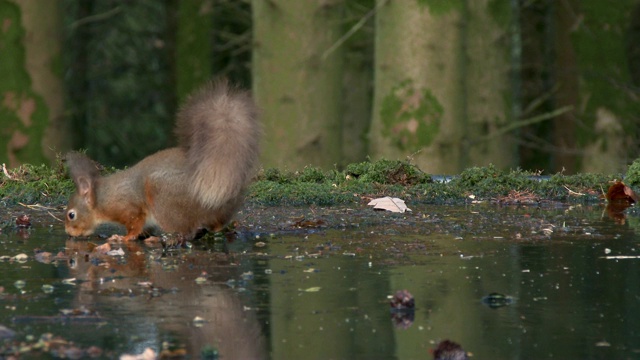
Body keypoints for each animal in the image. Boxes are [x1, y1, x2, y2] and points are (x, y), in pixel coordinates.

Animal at [64, 79, 260, 242]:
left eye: (71, 215)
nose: (68, 233)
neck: (103, 198)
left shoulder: (129, 208)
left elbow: (134, 225)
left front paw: (124, 238)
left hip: (163, 198)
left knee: (187, 229)